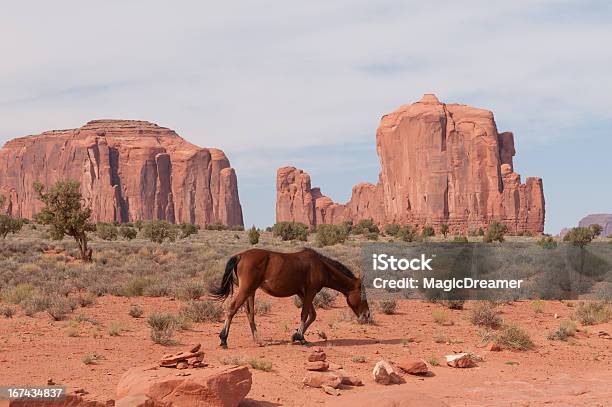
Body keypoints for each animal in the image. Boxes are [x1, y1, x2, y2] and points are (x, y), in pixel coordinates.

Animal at [208, 247, 370, 350]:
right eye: (363, 294)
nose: (367, 315)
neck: (321, 266)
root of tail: (240, 256)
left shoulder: (302, 293)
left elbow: (312, 314)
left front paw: (295, 335)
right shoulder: (310, 292)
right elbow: (305, 314)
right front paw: (301, 338)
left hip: (251, 292)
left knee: (250, 313)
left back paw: (258, 340)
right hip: (246, 290)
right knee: (232, 309)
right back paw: (223, 339)